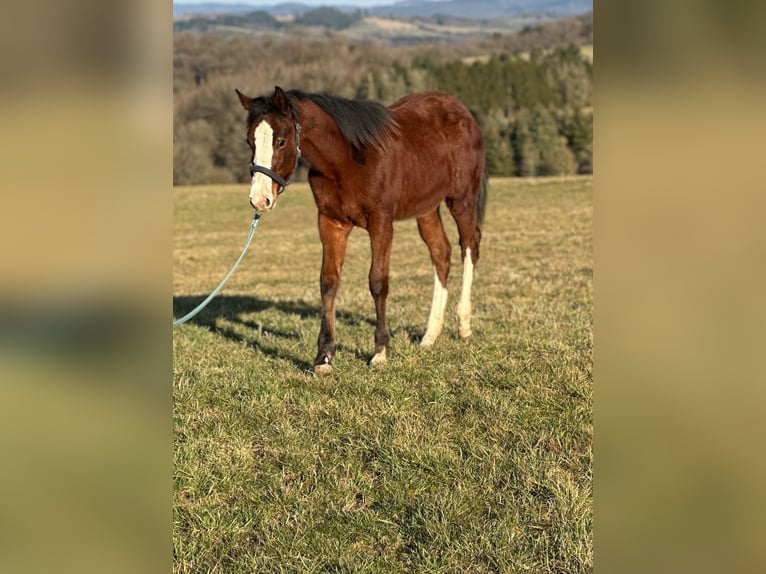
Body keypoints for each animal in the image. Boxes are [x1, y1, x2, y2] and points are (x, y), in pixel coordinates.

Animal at [236, 85, 486, 378]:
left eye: (281, 142)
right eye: (249, 142)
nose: (259, 199)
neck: (347, 160)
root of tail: (463, 112)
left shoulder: (381, 223)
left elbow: (378, 282)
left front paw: (380, 352)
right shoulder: (330, 223)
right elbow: (328, 282)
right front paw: (324, 357)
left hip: (461, 199)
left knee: (469, 247)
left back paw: (464, 326)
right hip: (427, 208)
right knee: (441, 253)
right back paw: (430, 335)